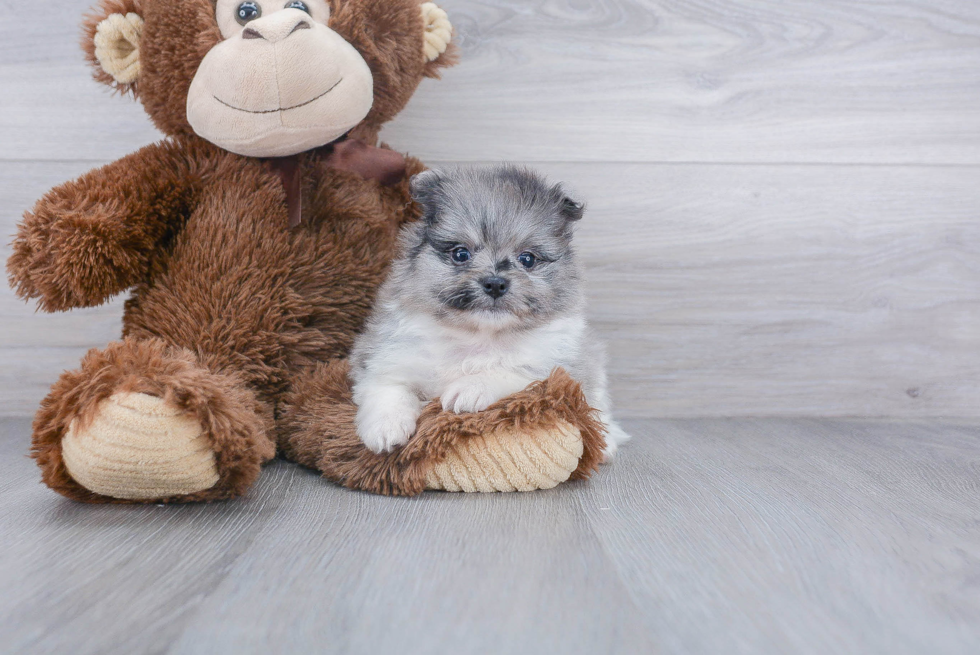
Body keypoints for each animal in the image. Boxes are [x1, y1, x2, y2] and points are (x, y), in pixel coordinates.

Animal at [348, 167, 632, 458]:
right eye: (461, 254)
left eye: (527, 259)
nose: (495, 284)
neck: (478, 336)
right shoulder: (387, 358)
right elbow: (387, 388)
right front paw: (386, 428)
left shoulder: (557, 371)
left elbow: (509, 371)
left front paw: (469, 388)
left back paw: (607, 441)